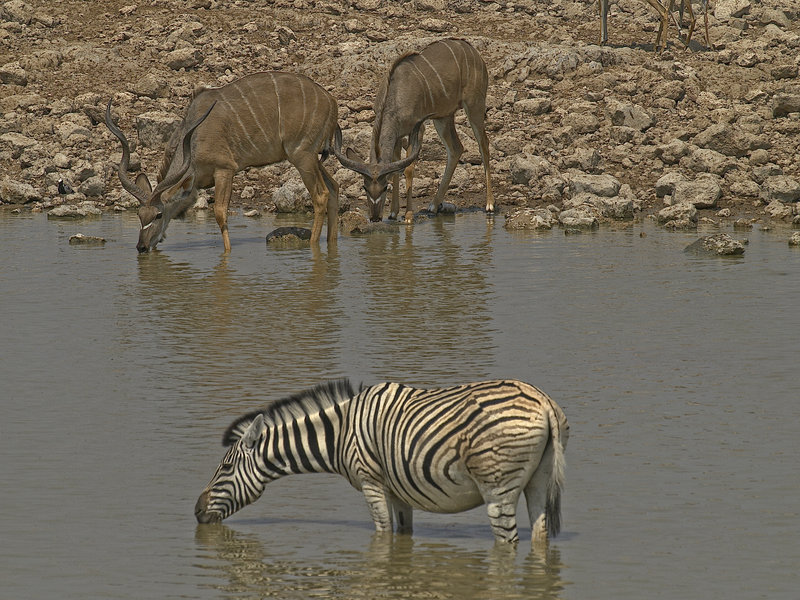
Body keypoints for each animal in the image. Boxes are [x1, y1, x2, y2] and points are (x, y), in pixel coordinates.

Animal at [195, 379, 569, 546]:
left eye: (225, 468)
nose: (196, 512)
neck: (341, 433)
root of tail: (543, 402)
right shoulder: (399, 490)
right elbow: (402, 534)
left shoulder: (371, 483)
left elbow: (383, 535)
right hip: (539, 482)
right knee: (539, 535)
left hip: (497, 488)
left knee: (507, 544)